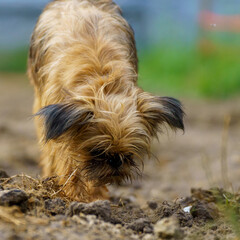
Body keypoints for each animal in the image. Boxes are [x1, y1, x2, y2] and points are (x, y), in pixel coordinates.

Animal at [27, 0, 184, 202]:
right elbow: (67, 159)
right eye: (96, 151)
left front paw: (96, 196)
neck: (103, 80)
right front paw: (76, 196)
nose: (115, 161)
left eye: (129, 153)